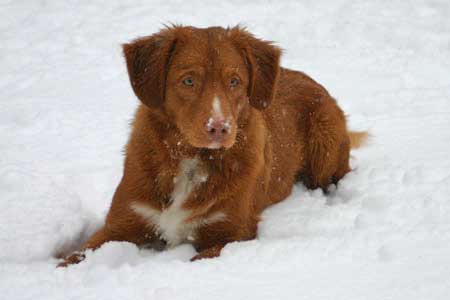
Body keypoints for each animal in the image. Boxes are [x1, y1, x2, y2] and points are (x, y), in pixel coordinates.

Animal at [57, 24, 366, 266]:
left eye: (234, 81)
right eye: (188, 80)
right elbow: (75, 257)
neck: (190, 159)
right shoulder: (120, 226)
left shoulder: (232, 234)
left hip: (325, 144)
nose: (219, 128)